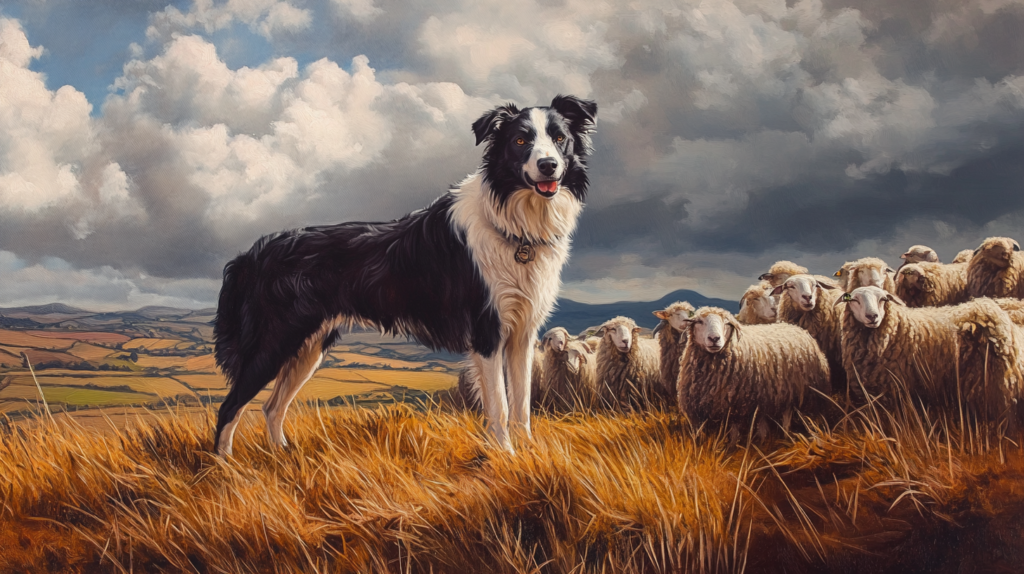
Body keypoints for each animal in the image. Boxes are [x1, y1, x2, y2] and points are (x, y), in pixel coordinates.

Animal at [211, 94, 598, 454]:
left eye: (560, 138)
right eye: (520, 140)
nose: (548, 166)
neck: (515, 224)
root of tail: (253, 254)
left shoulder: (522, 333)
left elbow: (522, 403)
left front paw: (528, 451)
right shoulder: (486, 331)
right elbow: (501, 406)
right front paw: (504, 454)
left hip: (308, 348)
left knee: (272, 407)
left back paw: (282, 454)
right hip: (274, 341)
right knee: (230, 406)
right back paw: (224, 465)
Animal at [679, 304, 831, 444]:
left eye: (727, 323)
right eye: (699, 322)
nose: (714, 338)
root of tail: (796, 328)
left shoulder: (737, 403)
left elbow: (734, 431)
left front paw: (733, 447)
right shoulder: (697, 408)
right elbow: (699, 434)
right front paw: (699, 444)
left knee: (787, 414)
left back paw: (785, 435)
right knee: (774, 414)